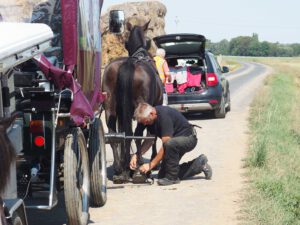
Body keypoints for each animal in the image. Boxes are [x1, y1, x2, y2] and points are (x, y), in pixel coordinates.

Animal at [102, 21, 164, 183]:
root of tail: (130, 64)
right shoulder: (155, 108)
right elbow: (152, 135)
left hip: (110, 107)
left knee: (115, 134)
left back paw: (120, 170)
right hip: (142, 107)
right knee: (136, 134)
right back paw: (137, 170)